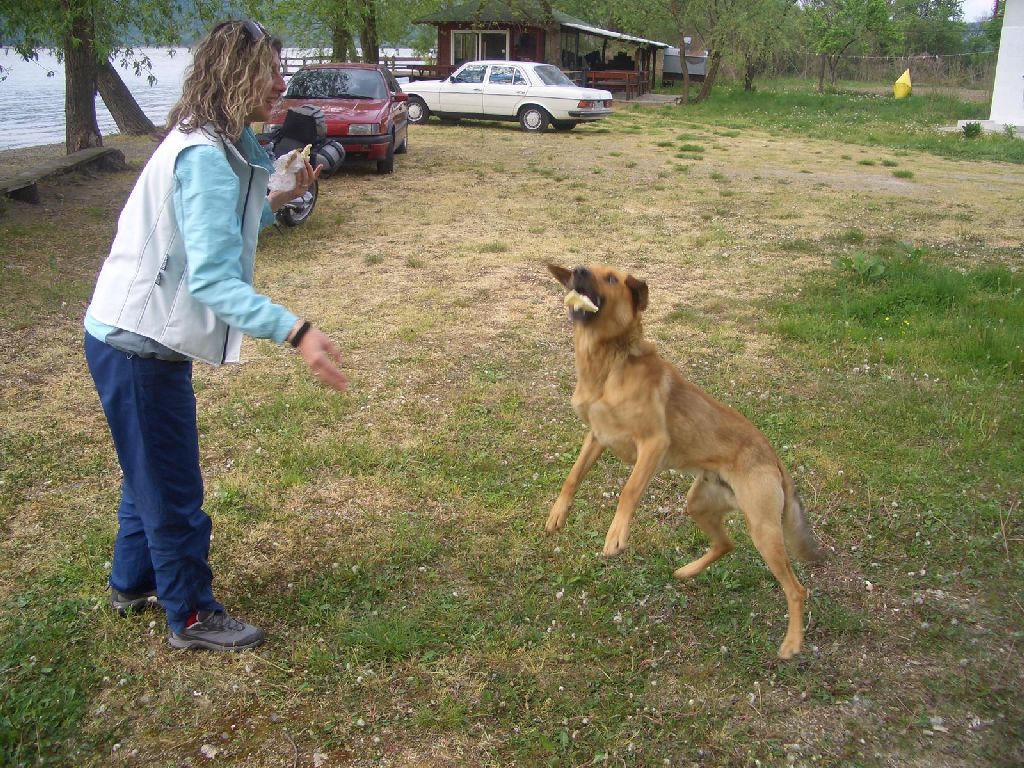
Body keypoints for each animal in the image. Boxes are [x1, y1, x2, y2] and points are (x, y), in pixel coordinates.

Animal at [544, 266, 823, 663]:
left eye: (611, 278)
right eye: (586, 268)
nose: (579, 270)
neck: (610, 362)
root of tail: (774, 460)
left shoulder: (653, 445)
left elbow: (628, 492)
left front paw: (616, 535)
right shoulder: (596, 437)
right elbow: (572, 477)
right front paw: (558, 513)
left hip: (764, 530)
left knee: (796, 589)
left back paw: (792, 642)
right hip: (699, 504)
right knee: (726, 545)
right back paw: (688, 571)